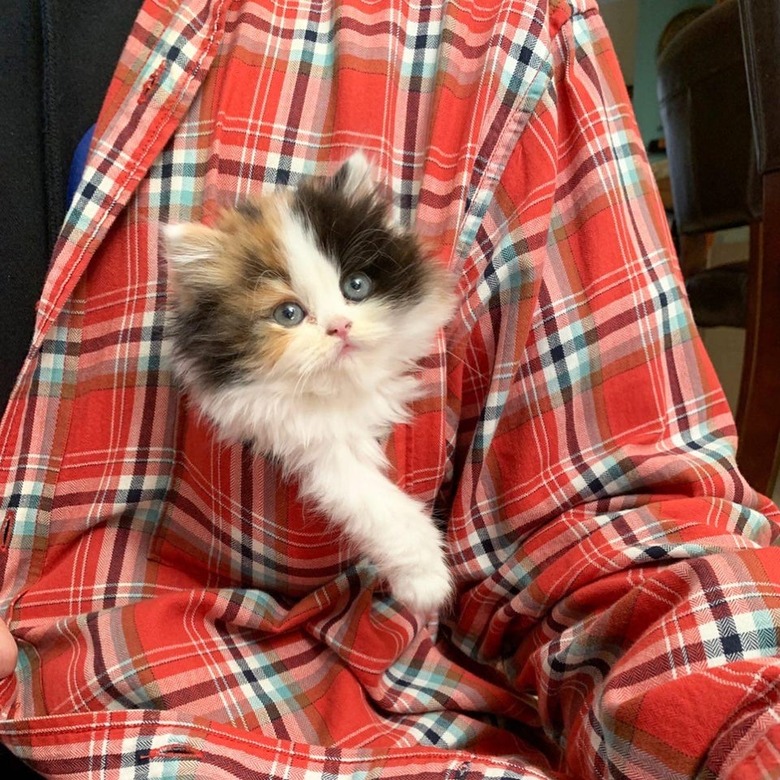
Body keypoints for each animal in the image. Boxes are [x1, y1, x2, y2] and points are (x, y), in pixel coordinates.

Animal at [165, 154, 458, 616]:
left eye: (356, 286)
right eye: (288, 313)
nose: (340, 327)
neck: (341, 388)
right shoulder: (306, 442)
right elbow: (374, 502)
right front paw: (424, 578)